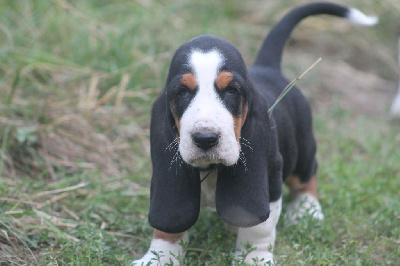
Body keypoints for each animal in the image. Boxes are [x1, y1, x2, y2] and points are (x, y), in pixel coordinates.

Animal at [134, 1, 378, 264]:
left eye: (232, 90)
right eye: (181, 92)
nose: (205, 139)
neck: (212, 169)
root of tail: (267, 67)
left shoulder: (268, 175)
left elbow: (258, 228)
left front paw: (254, 258)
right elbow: (169, 227)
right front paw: (157, 257)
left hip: (301, 150)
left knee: (307, 173)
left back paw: (307, 209)